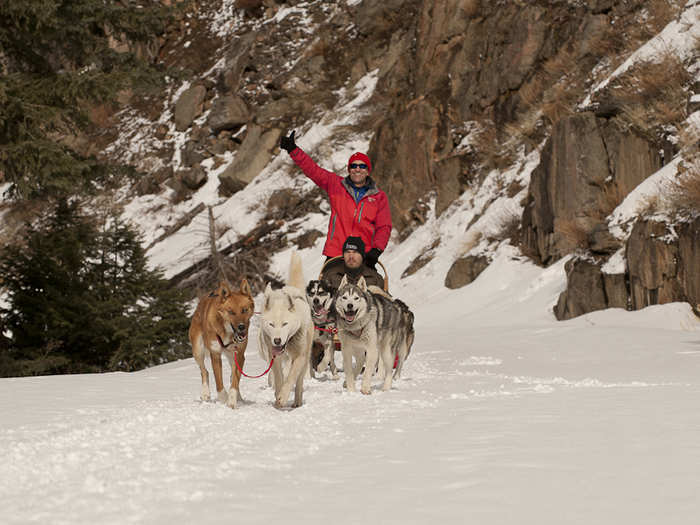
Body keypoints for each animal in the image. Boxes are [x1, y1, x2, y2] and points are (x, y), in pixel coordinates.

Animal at [190, 280, 256, 408]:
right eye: (231, 312)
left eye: (244, 310)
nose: (241, 327)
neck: (229, 333)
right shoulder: (215, 354)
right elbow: (219, 381)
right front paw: (223, 398)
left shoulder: (239, 354)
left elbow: (235, 380)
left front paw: (232, 400)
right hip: (197, 350)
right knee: (204, 371)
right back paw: (205, 393)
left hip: (231, 356)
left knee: (231, 376)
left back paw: (239, 398)